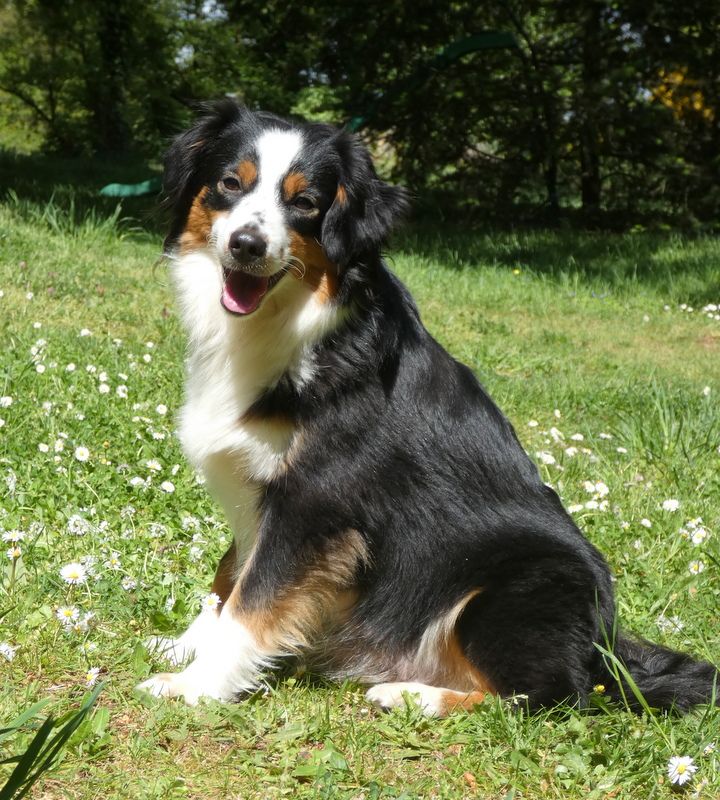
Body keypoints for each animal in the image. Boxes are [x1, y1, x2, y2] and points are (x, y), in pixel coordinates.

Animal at [138, 100, 716, 712]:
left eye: (305, 203)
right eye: (230, 183)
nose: (246, 244)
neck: (298, 327)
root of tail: (604, 649)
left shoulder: (313, 503)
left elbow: (254, 599)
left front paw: (196, 683)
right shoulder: (259, 494)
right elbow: (229, 576)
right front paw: (183, 646)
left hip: (519, 586)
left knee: (546, 696)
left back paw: (410, 694)